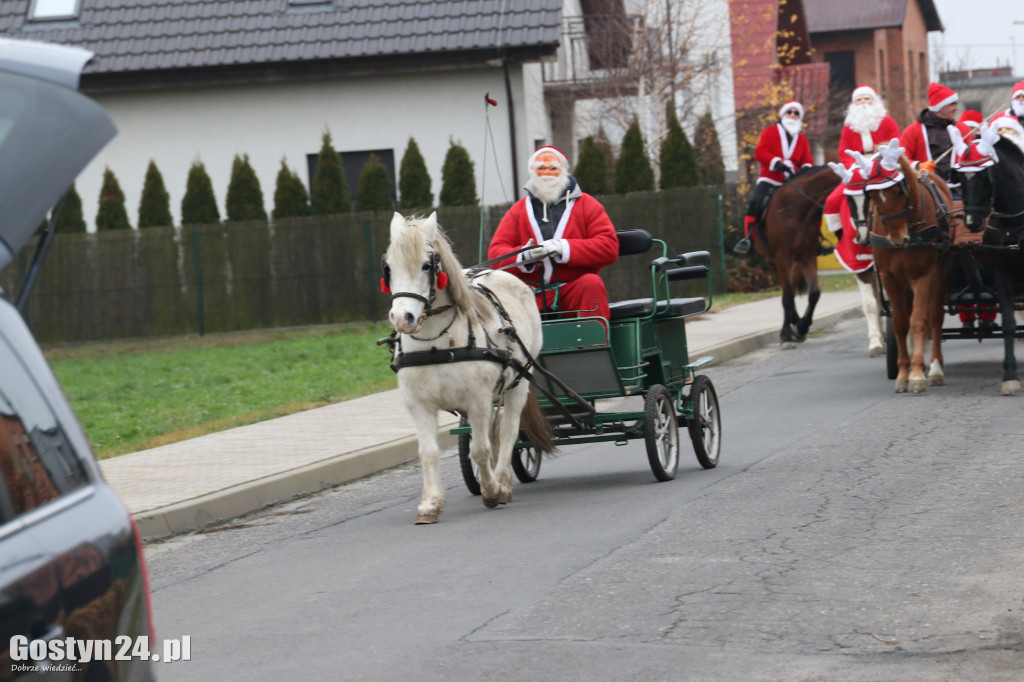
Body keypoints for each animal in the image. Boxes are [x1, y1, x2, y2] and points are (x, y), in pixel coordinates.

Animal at [382, 210, 552, 520]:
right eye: (388, 268)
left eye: (427, 265)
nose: (403, 319)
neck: (437, 345)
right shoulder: (418, 404)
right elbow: (429, 451)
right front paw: (430, 503)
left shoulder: (478, 400)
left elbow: (481, 449)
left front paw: (491, 490)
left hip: (519, 382)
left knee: (508, 432)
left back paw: (503, 483)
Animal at [753, 163, 839, 346]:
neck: (796, 209)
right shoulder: (782, 258)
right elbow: (787, 297)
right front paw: (786, 333)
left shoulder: (808, 255)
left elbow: (814, 294)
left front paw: (802, 327)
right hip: (774, 262)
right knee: (788, 292)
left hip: (796, 262)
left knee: (792, 287)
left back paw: (796, 321)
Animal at [843, 140, 954, 391]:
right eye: (873, 195)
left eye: (898, 190)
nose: (897, 239)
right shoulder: (890, 277)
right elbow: (901, 323)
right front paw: (904, 372)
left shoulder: (924, 275)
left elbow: (919, 320)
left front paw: (917, 374)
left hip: (939, 274)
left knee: (935, 317)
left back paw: (935, 367)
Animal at [950, 122, 1024, 393]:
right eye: (959, 178)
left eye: (985, 176)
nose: (972, 222)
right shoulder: (1002, 274)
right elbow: (1009, 324)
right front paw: (1010, 375)